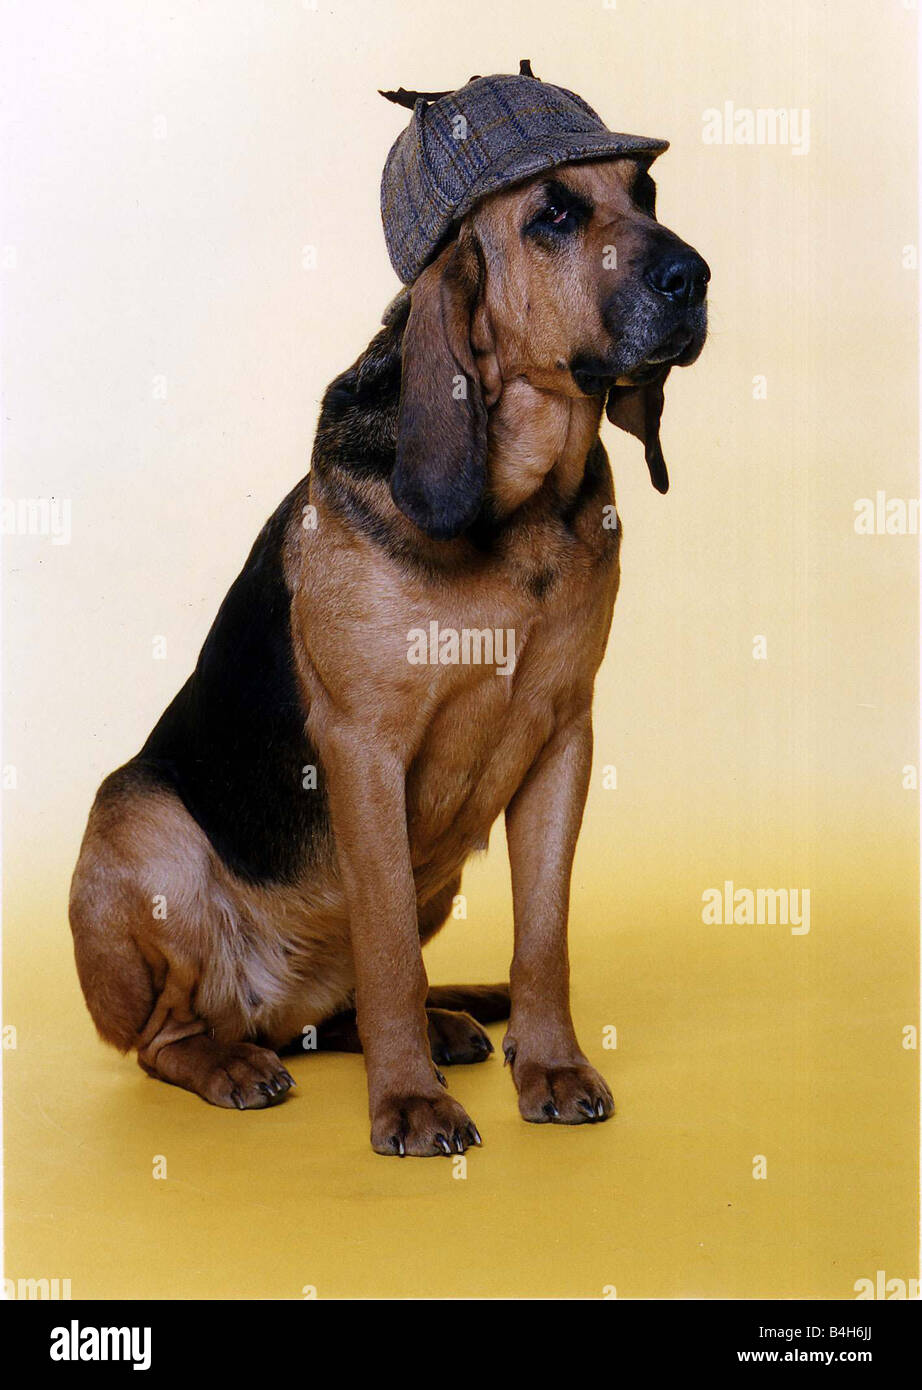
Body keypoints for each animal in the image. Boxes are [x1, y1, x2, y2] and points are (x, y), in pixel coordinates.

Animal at [68, 149, 709, 1150]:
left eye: (643, 192)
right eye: (553, 215)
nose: (694, 276)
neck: (522, 509)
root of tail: (274, 1006)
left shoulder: (565, 742)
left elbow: (544, 938)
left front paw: (551, 1064)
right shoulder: (364, 752)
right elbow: (389, 952)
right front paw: (409, 1102)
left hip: (430, 879)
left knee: (342, 1011)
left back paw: (454, 1018)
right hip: (141, 829)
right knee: (170, 1036)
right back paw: (233, 1063)